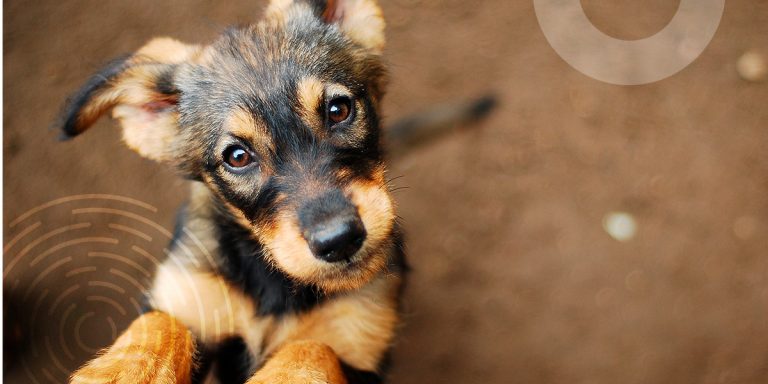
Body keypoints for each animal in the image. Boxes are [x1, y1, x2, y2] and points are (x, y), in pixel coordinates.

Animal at [58, 0, 492, 384]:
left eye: (339, 110)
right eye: (237, 156)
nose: (339, 240)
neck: (276, 283)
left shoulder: (358, 344)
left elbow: (312, 349)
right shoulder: (188, 294)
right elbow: (157, 323)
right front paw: (120, 372)